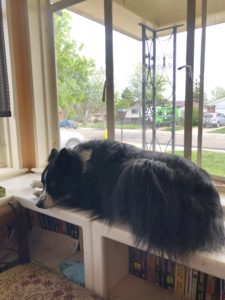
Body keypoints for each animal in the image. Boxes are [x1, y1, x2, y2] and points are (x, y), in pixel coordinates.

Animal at [33, 139, 225, 258]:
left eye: (55, 185)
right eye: (45, 182)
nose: (38, 205)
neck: (80, 166)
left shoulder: (90, 196)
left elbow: (68, 197)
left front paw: (36, 191)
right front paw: (35, 185)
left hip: (144, 167)